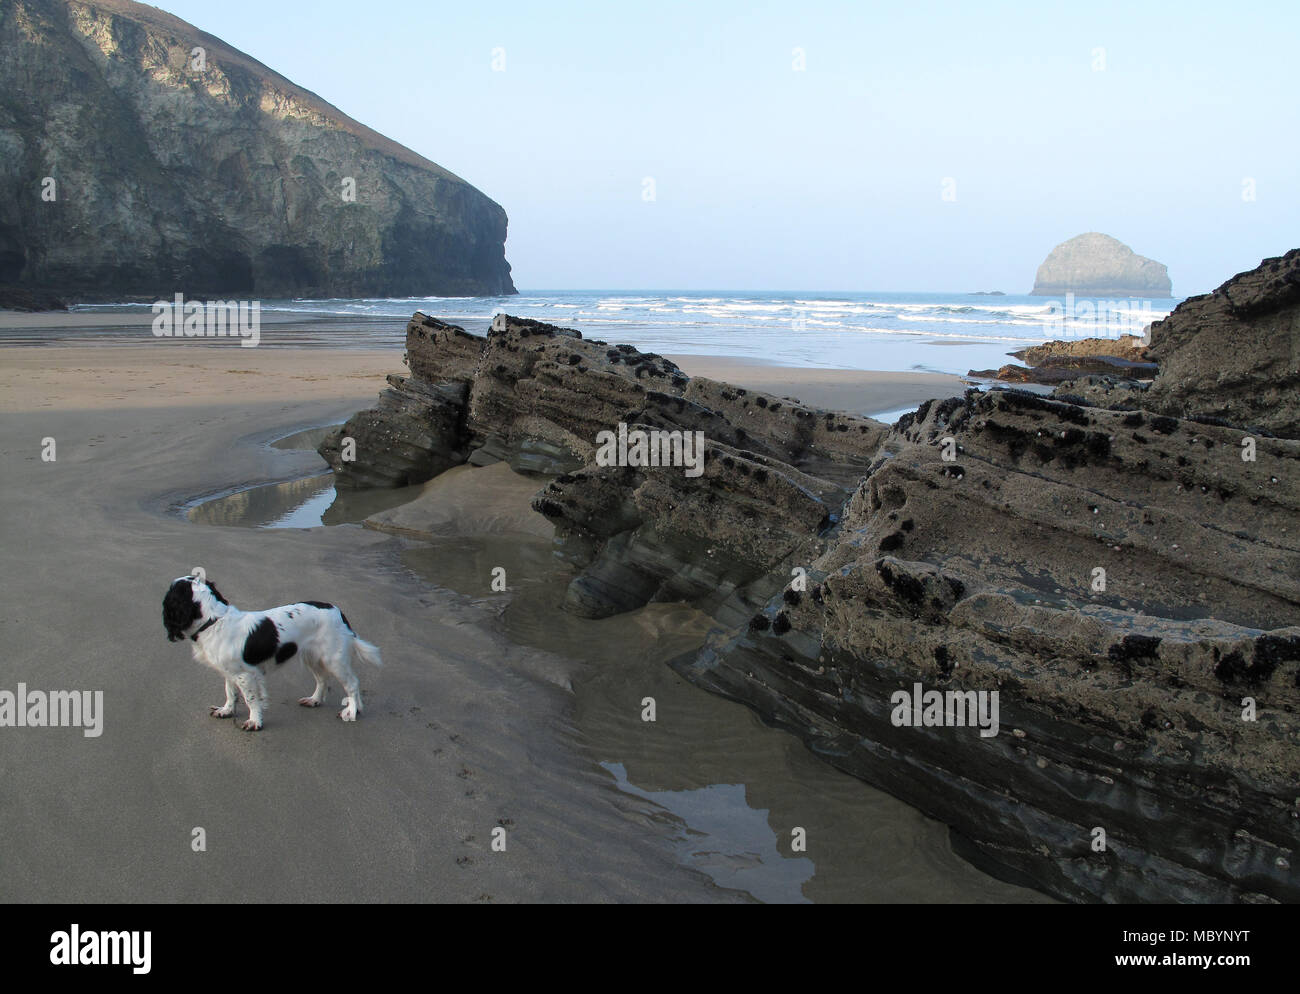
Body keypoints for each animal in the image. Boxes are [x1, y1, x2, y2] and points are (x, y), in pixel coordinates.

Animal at [161, 574, 379, 727]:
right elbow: (230, 693)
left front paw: (254, 722)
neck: (214, 620)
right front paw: (226, 711)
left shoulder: (245, 675)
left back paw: (352, 711)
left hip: (334, 659)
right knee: (323, 680)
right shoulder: (229, 672)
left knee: (352, 684)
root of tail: (338, 611)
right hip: (313, 657)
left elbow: (251, 699)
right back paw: (314, 700)